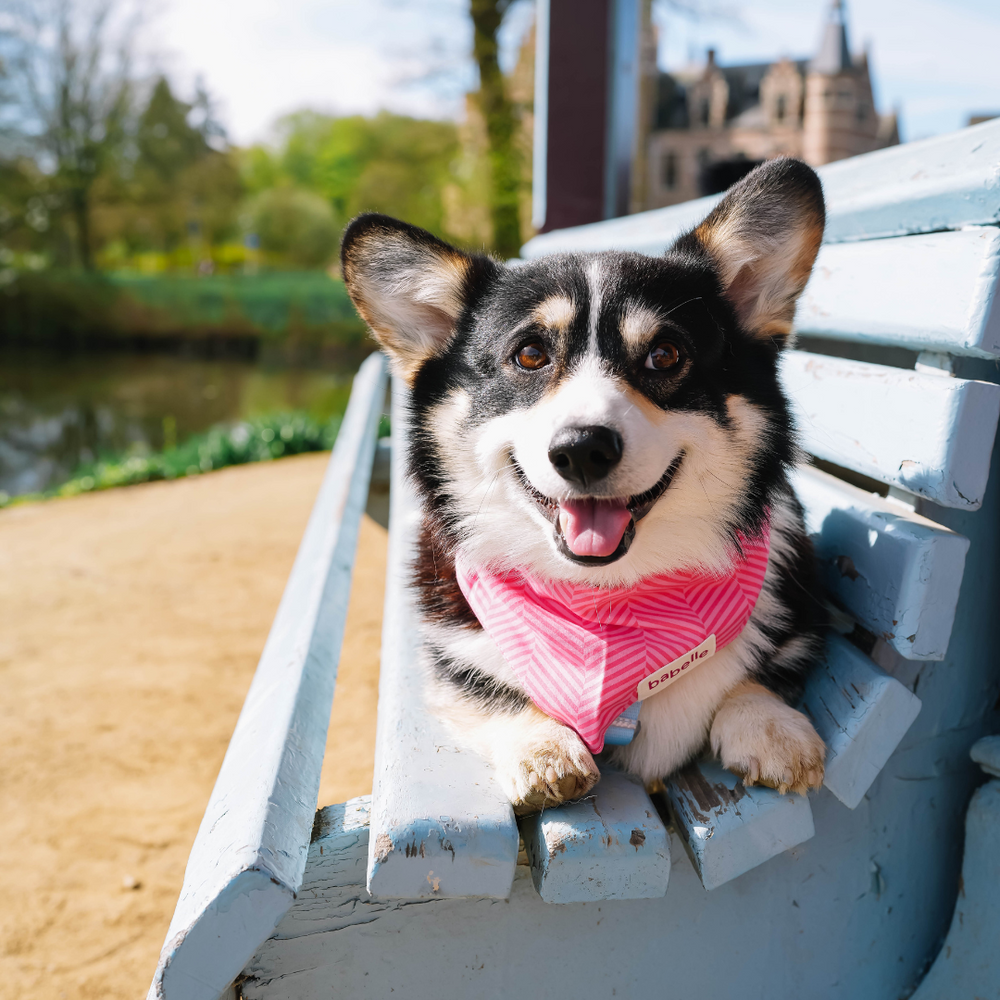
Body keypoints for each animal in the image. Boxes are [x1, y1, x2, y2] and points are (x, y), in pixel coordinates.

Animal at [342, 156, 828, 812]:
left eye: (665, 355)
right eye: (529, 355)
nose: (581, 451)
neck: (604, 605)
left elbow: (758, 672)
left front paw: (771, 726)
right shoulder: (456, 654)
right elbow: (490, 689)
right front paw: (544, 748)